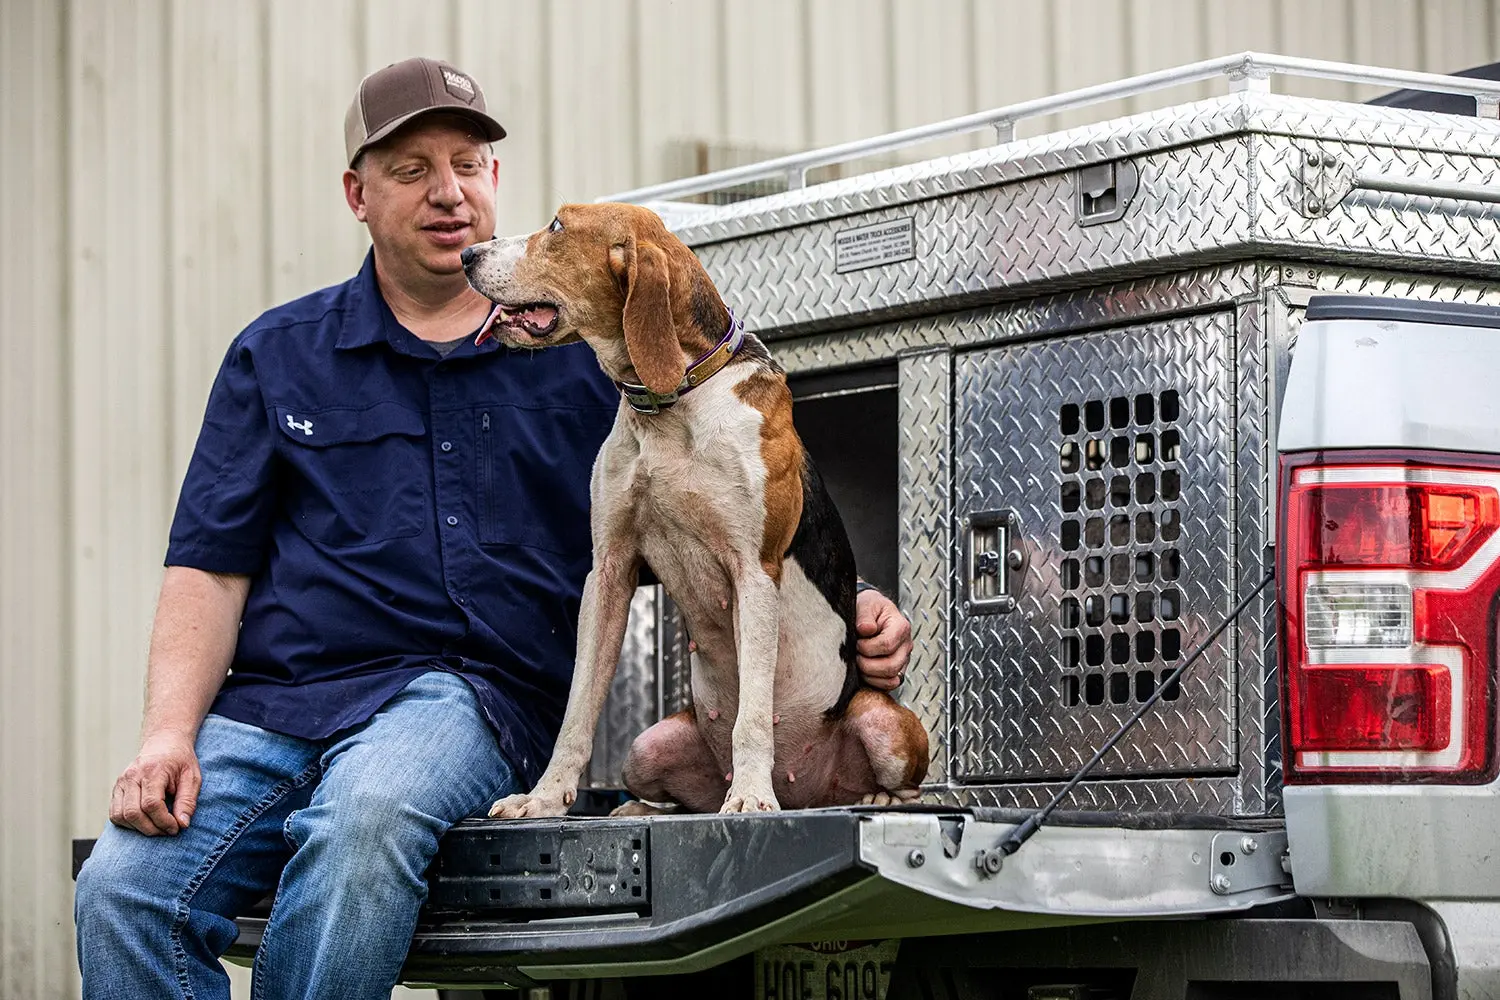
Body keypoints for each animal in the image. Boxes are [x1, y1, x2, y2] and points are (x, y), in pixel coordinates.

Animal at [459, 200, 924, 815]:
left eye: (557, 227)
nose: (466, 254)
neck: (672, 404)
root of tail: (804, 791)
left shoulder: (755, 573)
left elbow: (753, 715)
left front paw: (749, 796)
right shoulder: (609, 573)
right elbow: (577, 710)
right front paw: (545, 797)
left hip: (884, 724)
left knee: (901, 777)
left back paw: (874, 798)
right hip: (647, 748)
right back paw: (641, 806)